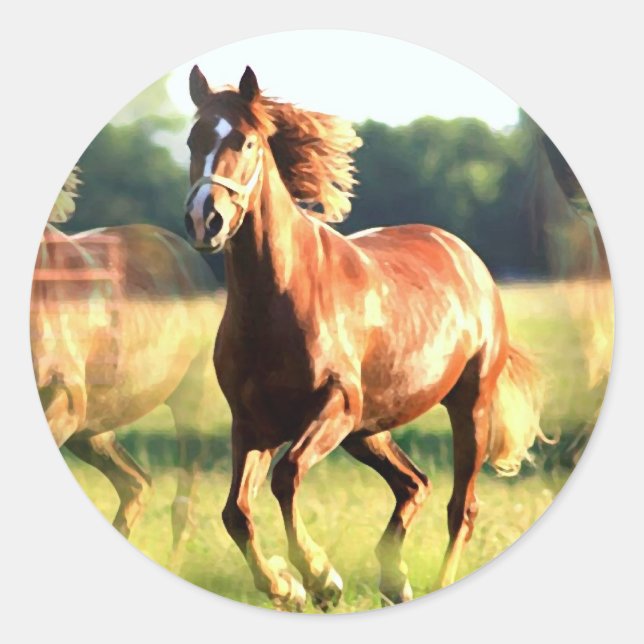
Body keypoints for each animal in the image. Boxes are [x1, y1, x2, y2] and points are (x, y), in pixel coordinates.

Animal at [183, 66, 547, 611]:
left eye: (245, 141)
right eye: (192, 140)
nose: (206, 220)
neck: (279, 299)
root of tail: (466, 257)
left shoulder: (335, 405)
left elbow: (287, 477)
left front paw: (319, 577)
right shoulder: (252, 424)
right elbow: (236, 512)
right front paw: (286, 585)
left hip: (466, 408)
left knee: (461, 508)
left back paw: (431, 582)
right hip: (368, 429)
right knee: (414, 484)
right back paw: (394, 581)